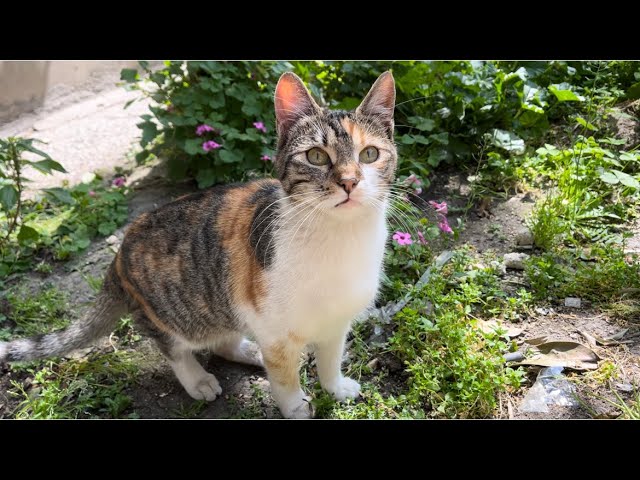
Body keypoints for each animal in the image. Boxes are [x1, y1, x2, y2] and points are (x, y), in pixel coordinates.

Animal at [0, 69, 398, 418]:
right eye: (316, 156)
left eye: (369, 154)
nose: (349, 182)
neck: (339, 240)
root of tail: (117, 258)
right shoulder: (273, 327)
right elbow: (284, 376)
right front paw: (296, 406)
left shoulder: (336, 321)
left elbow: (331, 357)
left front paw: (336, 387)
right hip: (175, 312)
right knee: (174, 346)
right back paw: (198, 379)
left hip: (222, 300)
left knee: (223, 339)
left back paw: (250, 352)